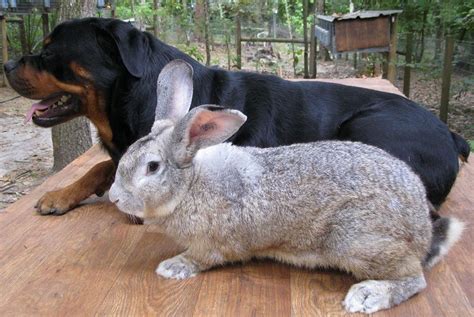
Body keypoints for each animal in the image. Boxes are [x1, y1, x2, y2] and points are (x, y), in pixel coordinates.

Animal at [3, 17, 470, 215]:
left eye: (48, 52)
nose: (6, 65)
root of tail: (452, 134)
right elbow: (102, 165)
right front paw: (63, 193)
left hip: (366, 126)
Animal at [110, 59, 462, 314]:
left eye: (152, 167)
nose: (114, 198)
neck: (190, 185)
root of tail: (422, 229)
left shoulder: (211, 244)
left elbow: (201, 258)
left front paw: (172, 267)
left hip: (356, 238)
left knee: (414, 278)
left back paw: (367, 296)